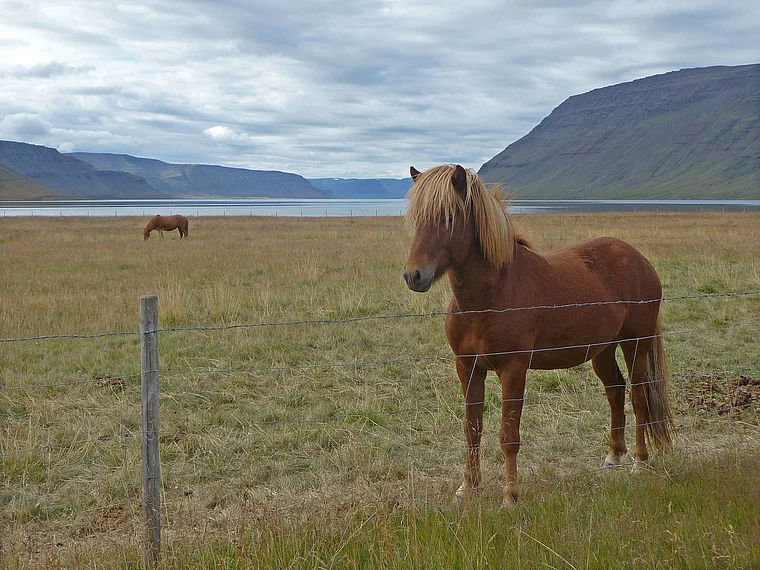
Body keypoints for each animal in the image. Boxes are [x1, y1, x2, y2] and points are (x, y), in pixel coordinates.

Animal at [402, 164, 673, 507]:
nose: (413, 275)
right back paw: (613, 457)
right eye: (416, 219)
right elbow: (471, 430)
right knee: (615, 390)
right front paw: (467, 488)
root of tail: (639, 259)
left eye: (448, 217)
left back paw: (639, 463)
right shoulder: (468, 368)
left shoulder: (513, 370)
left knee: (639, 397)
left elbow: (508, 436)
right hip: (603, 350)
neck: (491, 295)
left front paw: (510, 495)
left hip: (635, 344)